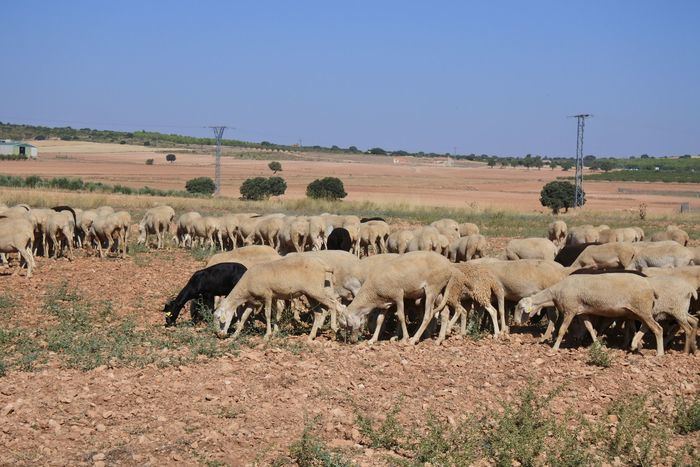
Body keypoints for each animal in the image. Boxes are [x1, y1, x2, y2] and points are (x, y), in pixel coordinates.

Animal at [215, 254, 344, 342]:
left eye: (218, 318)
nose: (219, 335)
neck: (245, 287)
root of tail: (324, 266)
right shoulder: (254, 301)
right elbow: (244, 317)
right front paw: (234, 335)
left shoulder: (267, 295)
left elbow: (268, 314)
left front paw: (267, 335)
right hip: (310, 293)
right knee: (318, 312)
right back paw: (311, 336)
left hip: (316, 291)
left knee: (332, 305)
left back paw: (334, 329)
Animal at [516, 274, 660, 354]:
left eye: (521, 307)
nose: (516, 322)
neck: (555, 294)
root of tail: (651, 288)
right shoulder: (581, 312)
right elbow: (590, 327)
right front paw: (597, 344)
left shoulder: (570, 310)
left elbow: (562, 330)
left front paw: (555, 348)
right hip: (637, 311)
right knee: (646, 326)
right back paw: (635, 344)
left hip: (642, 309)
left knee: (657, 328)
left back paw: (659, 353)